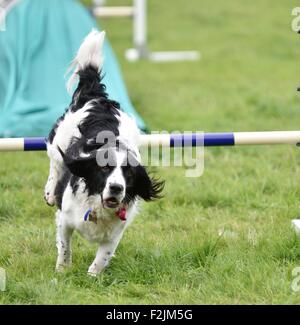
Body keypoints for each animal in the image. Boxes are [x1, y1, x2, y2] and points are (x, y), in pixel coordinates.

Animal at [44, 29, 164, 274]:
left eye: (129, 173)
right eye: (104, 168)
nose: (117, 188)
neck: (97, 202)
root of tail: (97, 97)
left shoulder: (116, 232)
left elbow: (103, 256)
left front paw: (93, 276)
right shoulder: (65, 219)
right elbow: (64, 246)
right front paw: (62, 270)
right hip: (59, 137)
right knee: (56, 162)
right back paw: (50, 192)